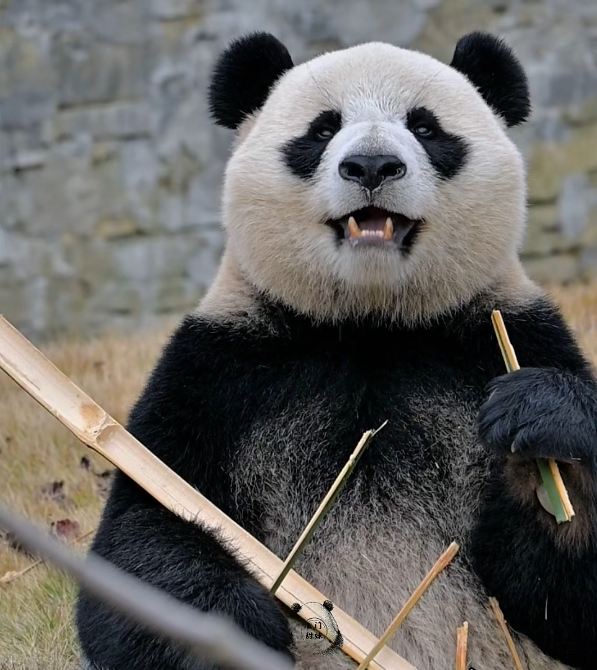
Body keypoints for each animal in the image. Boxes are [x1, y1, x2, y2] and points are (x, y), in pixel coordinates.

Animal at [77, 32, 597, 670]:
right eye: (323, 129)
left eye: (425, 126)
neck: (369, 326)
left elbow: (563, 602)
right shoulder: (218, 373)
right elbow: (146, 533)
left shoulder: (502, 337)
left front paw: (544, 437)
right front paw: (229, 626)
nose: (371, 165)